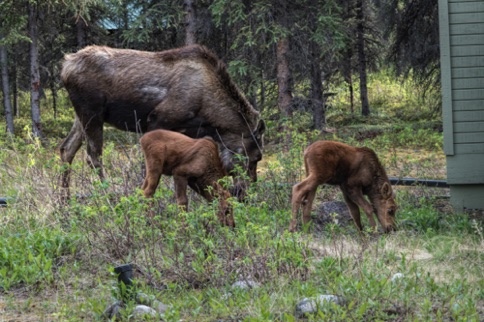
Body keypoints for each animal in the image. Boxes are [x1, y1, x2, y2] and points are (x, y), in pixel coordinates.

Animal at [61, 45, 266, 196]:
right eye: (255, 157)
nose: (246, 193)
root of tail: (65, 67)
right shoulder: (158, 119)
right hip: (91, 112)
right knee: (93, 156)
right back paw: (108, 195)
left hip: (82, 116)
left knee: (66, 149)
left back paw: (65, 202)